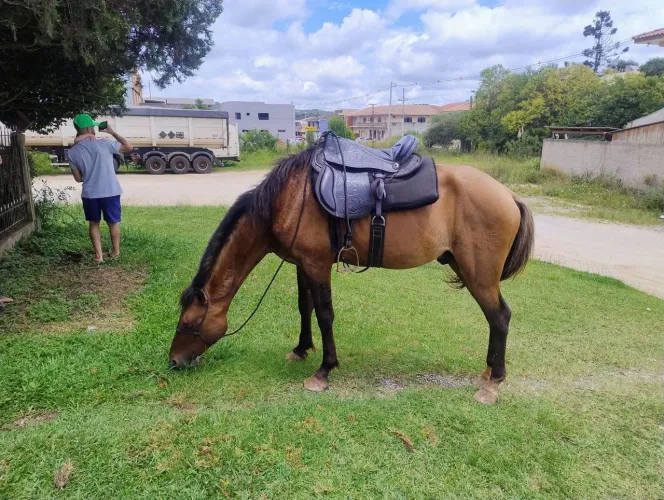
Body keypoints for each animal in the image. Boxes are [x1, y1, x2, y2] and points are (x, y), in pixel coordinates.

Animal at [169, 146, 534, 401]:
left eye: (188, 322)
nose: (173, 362)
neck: (289, 199)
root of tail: (508, 194)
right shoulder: (303, 264)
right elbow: (305, 307)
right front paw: (301, 348)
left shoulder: (317, 263)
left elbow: (325, 314)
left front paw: (324, 371)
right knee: (495, 318)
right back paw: (488, 371)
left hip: (479, 275)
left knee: (500, 317)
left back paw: (493, 381)